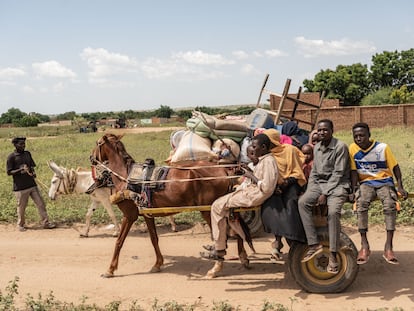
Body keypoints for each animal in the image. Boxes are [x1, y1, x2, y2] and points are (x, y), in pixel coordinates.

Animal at [91, 132, 251, 278]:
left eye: (97, 143)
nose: (91, 158)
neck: (125, 176)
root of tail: (225, 169)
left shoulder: (130, 215)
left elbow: (119, 241)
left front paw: (110, 269)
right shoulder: (147, 213)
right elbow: (154, 239)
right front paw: (158, 264)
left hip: (209, 210)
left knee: (222, 237)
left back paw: (216, 268)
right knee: (236, 230)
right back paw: (243, 257)